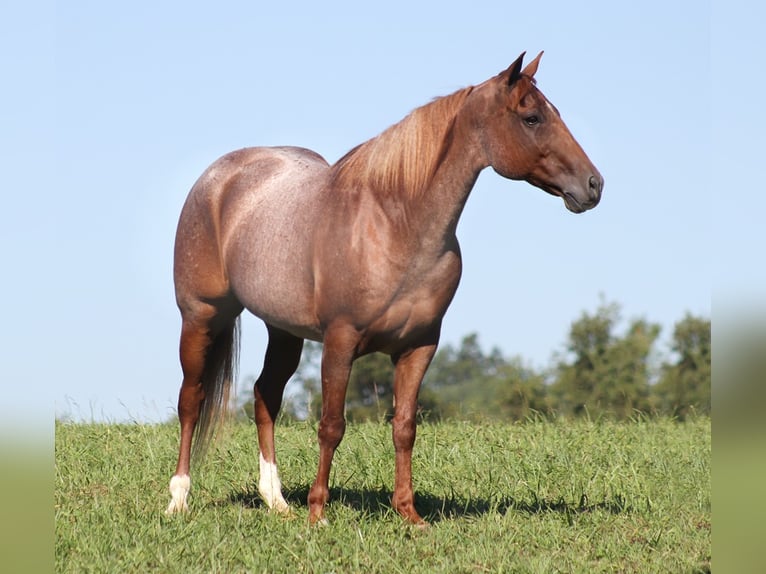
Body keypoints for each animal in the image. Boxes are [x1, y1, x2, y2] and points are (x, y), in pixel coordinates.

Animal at [165, 51, 604, 528]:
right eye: (532, 117)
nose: (593, 185)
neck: (396, 224)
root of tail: (218, 177)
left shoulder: (419, 347)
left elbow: (405, 427)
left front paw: (409, 513)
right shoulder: (340, 341)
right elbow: (332, 426)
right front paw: (318, 513)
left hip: (283, 331)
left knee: (266, 397)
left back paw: (276, 499)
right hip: (202, 316)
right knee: (191, 400)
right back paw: (179, 499)